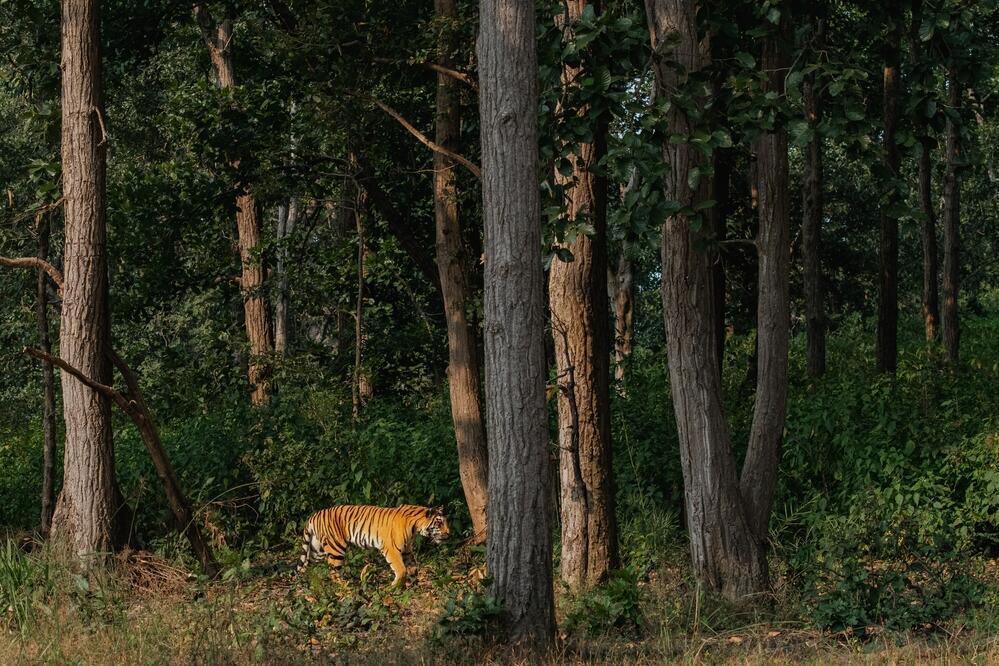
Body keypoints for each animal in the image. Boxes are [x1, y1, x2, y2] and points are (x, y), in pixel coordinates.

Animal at [292, 504, 450, 586]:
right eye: (439, 523)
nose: (449, 534)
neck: (415, 527)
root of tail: (315, 515)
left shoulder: (406, 550)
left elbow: (413, 568)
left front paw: (412, 584)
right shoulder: (391, 549)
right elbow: (401, 569)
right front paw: (395, 587)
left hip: (316, 549)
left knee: (306, 565)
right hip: (336, 548)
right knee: (333, 571)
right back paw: (346, 588)